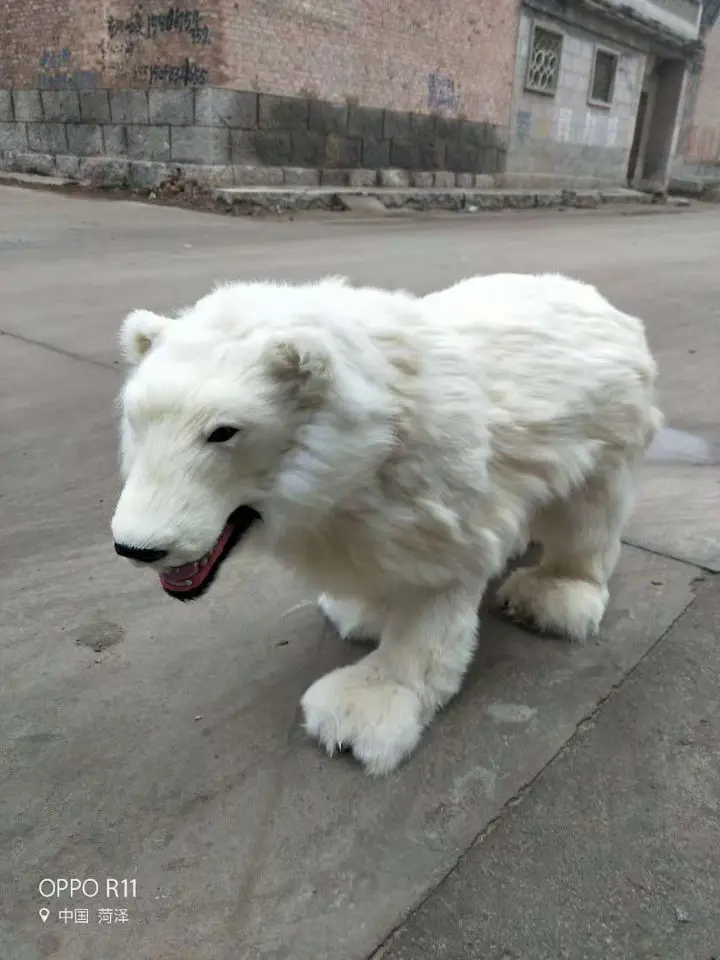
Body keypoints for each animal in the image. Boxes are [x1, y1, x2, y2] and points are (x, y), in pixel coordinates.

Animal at [111, 273, 662, 776]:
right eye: (136, 419)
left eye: (223, 431)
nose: (137, 548)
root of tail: (592, 295)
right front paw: (361, 611)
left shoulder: (439, 496)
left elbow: (431, 602)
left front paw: (360, 713)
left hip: (606, 427)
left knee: (587, 516)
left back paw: (555, 596)